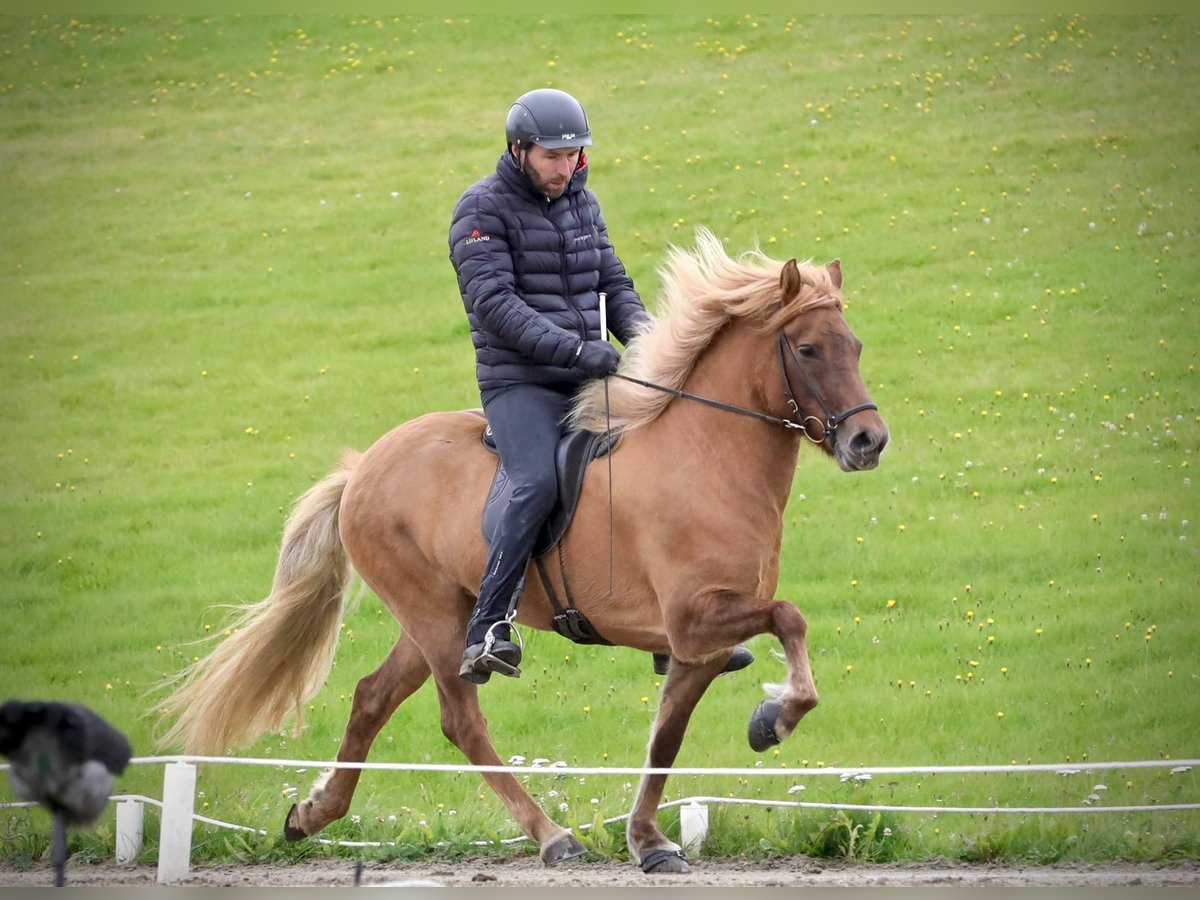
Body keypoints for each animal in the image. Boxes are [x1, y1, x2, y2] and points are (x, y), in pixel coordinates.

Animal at [157, 229, 892, 878]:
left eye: (855, 345)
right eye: (808, 349)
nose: (869, 442)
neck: (707, 457)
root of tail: (364, 466)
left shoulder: (695, 649)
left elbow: (666, 737)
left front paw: (649, 841)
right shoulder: (695, 620)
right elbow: (790, 617)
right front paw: (774, 718)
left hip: (443, 612)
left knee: (371, 697)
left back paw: (311, 815)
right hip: (435, 615)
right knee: (461, 720)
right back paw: (552, 836)